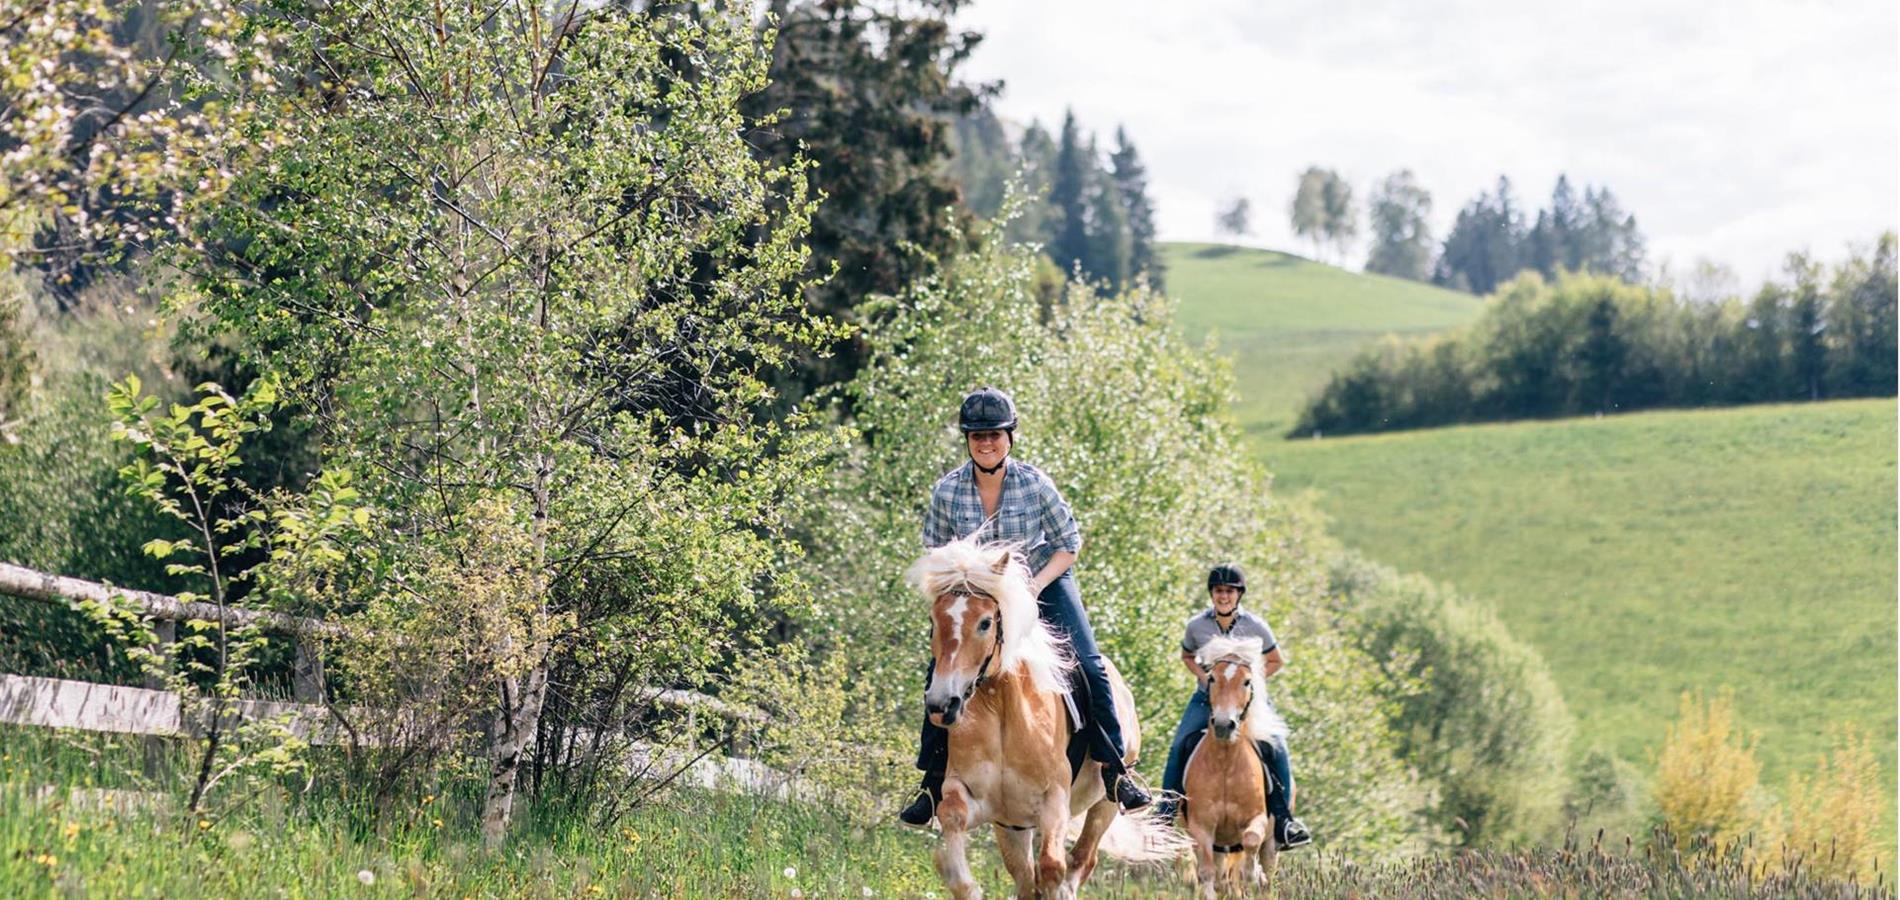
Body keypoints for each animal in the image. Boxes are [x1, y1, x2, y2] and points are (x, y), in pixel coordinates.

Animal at [908, 539, 1185, 896]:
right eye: (933, 622)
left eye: (985, 622)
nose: (943, 704)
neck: (1002, 709)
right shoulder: (973, 795)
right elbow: (951, 817)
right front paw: (963, 882)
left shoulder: (1054, 800)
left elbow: (1053, 867)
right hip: (1012, 823)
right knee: (1025, 875)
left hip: (1104, 803)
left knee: (1081, 860)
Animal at [1185, 637, 1292, 896]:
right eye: (1212, 678)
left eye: (1246, 681)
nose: (1225, 725)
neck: (1225, 763)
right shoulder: (1202, 828)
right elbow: (1207, 875)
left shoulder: (1256, 819)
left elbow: (1251, 841)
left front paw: (1253, 875)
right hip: (1220, 845)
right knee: (1221, 878)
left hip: (1271, 844)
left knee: (1267, 878)